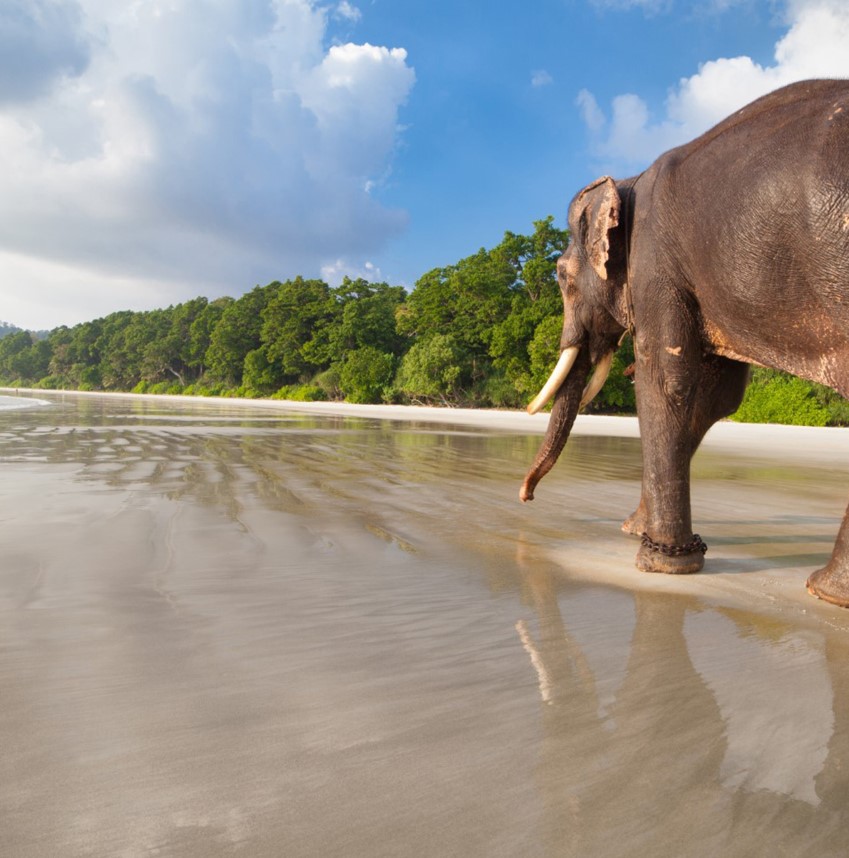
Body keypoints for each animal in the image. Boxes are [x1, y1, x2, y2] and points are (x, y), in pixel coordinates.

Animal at [520, 77, 848, 604]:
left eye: (562, 278)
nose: (525, 496)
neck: (627, 180)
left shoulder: (655, 263)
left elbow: (666, 382)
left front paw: (659, 564)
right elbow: (715, 396)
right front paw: (635, 530)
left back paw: (825, 592)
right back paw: (831, 593)